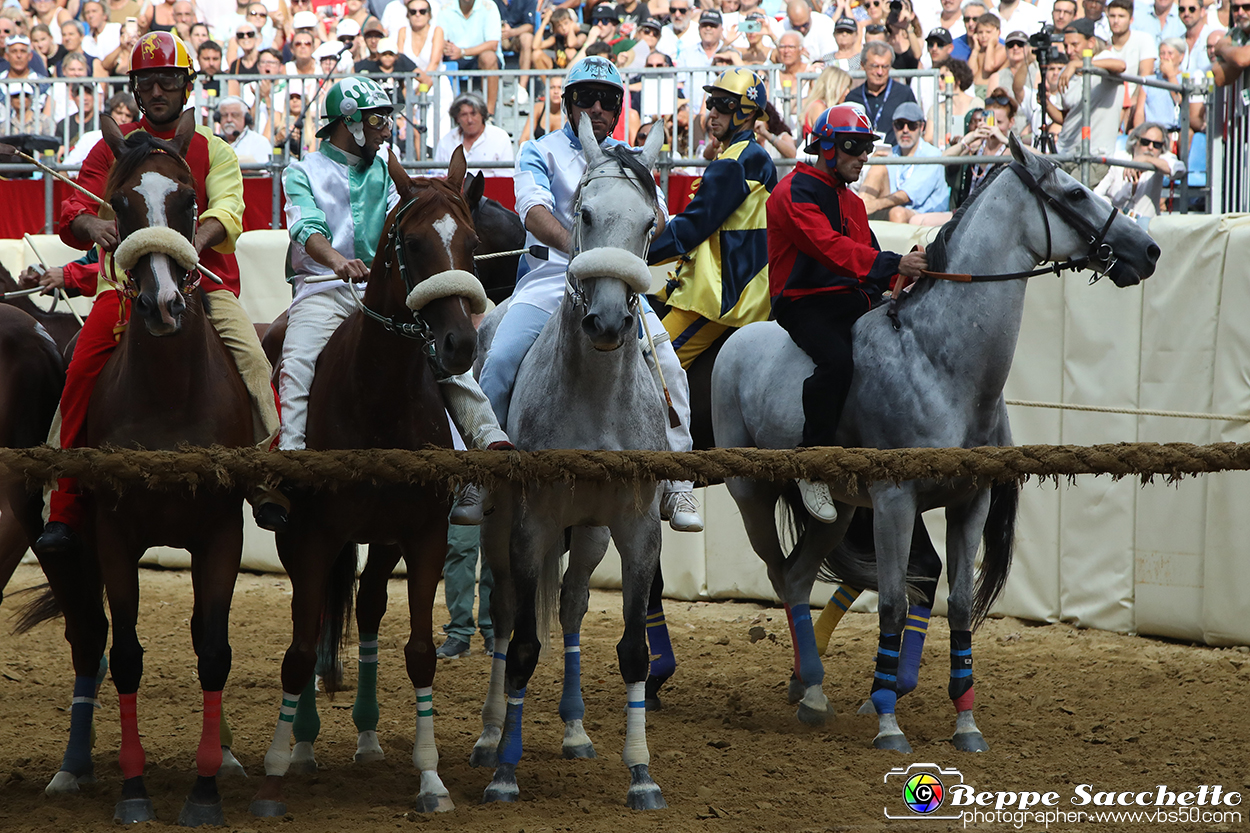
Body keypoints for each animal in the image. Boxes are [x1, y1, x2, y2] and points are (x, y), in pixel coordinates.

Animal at [251, 145, 485, 815]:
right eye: (413, 242)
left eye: (472, 242)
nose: (459, 345)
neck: (378, 395)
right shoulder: (312, 538)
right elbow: (301, 652)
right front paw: (276, 769)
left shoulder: (425, 536)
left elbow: (421, 653)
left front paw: (430, 779)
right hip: (304, 536)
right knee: (313, 625)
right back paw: (305, 746)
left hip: (381, 541)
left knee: (373, 608)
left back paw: (368, 737)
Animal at [470, 115, 670, 805]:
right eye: (584, 212)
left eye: (650, 223)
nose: (607, 321)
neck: (596, 401)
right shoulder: (532, 523)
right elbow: (524, 646)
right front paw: (504, 773)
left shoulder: (636, 527)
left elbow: (633, 648)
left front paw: (641, 775)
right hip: (502, 527)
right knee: (506, 616)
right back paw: (490, 735)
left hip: (588, 533)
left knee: (574, 605)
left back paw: (576, 731)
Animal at [715, 137, 1160, 750]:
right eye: (1073, 193)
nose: (1149, 249)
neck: (940, 362)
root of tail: (736, 342)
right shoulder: (894, 504)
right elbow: (893, 605)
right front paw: (887, 722)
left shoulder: (970, 504)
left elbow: (957, 605)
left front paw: (966, 723)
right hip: (753, 496)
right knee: (781, 574)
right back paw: (809, 682)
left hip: (837, 515)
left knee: (800, 576)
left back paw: (812, 690)